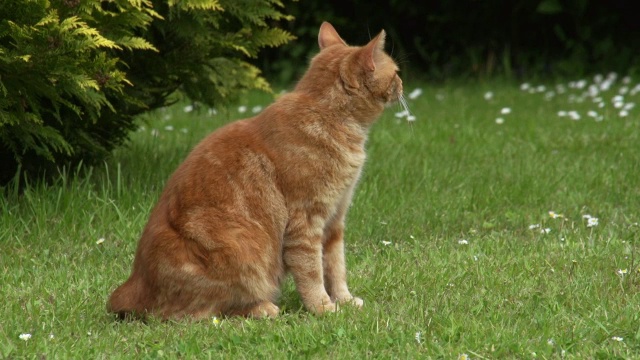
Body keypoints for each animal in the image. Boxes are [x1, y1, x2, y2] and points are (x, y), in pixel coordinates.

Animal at [107, 22, 402, 320]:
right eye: (397, 72)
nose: (402, 84)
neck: (328, 114)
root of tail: (132, 285)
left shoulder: (335, 220)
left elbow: (336, 267)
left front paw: (344, 300)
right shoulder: (306, 222)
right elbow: (312, 272)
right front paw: (323, 308)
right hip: (239, 249)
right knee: (202, 314)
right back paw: (263, 308)